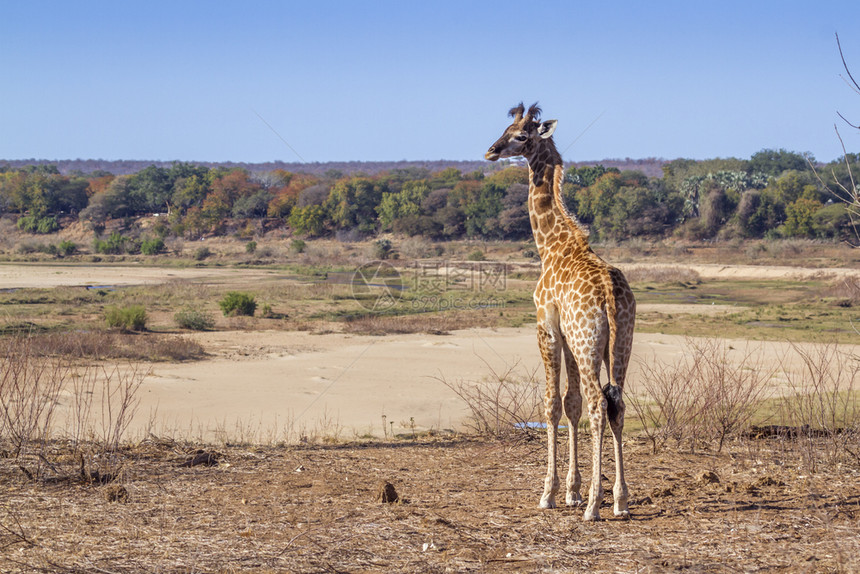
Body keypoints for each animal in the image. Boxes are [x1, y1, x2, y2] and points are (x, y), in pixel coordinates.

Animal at [488, 103, 636, 520]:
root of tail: (609, 295)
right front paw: (571, 490)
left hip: (589, 345)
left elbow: (553, 404)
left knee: (599, 404)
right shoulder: (569, 337)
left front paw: (550, 493)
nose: (491, 151)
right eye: (504, 129)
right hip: (619, 344)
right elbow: (570, 404)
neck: (550, 245)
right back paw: (619, 501)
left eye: (521, 136)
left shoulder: (547, 329)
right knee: (617, 404)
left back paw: (596, 506)